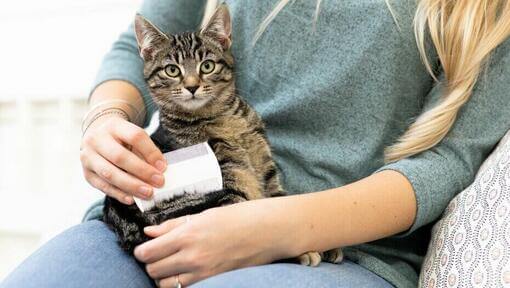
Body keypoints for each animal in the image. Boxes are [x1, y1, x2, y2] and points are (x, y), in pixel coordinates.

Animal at [102, 3, 342, 266]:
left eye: (207, 66)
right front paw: (302, 250)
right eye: (172, 70)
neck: (223, 119)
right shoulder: (231, 180)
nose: (192, 86)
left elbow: (279, 202)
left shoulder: (267, 168)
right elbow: (252, 221)